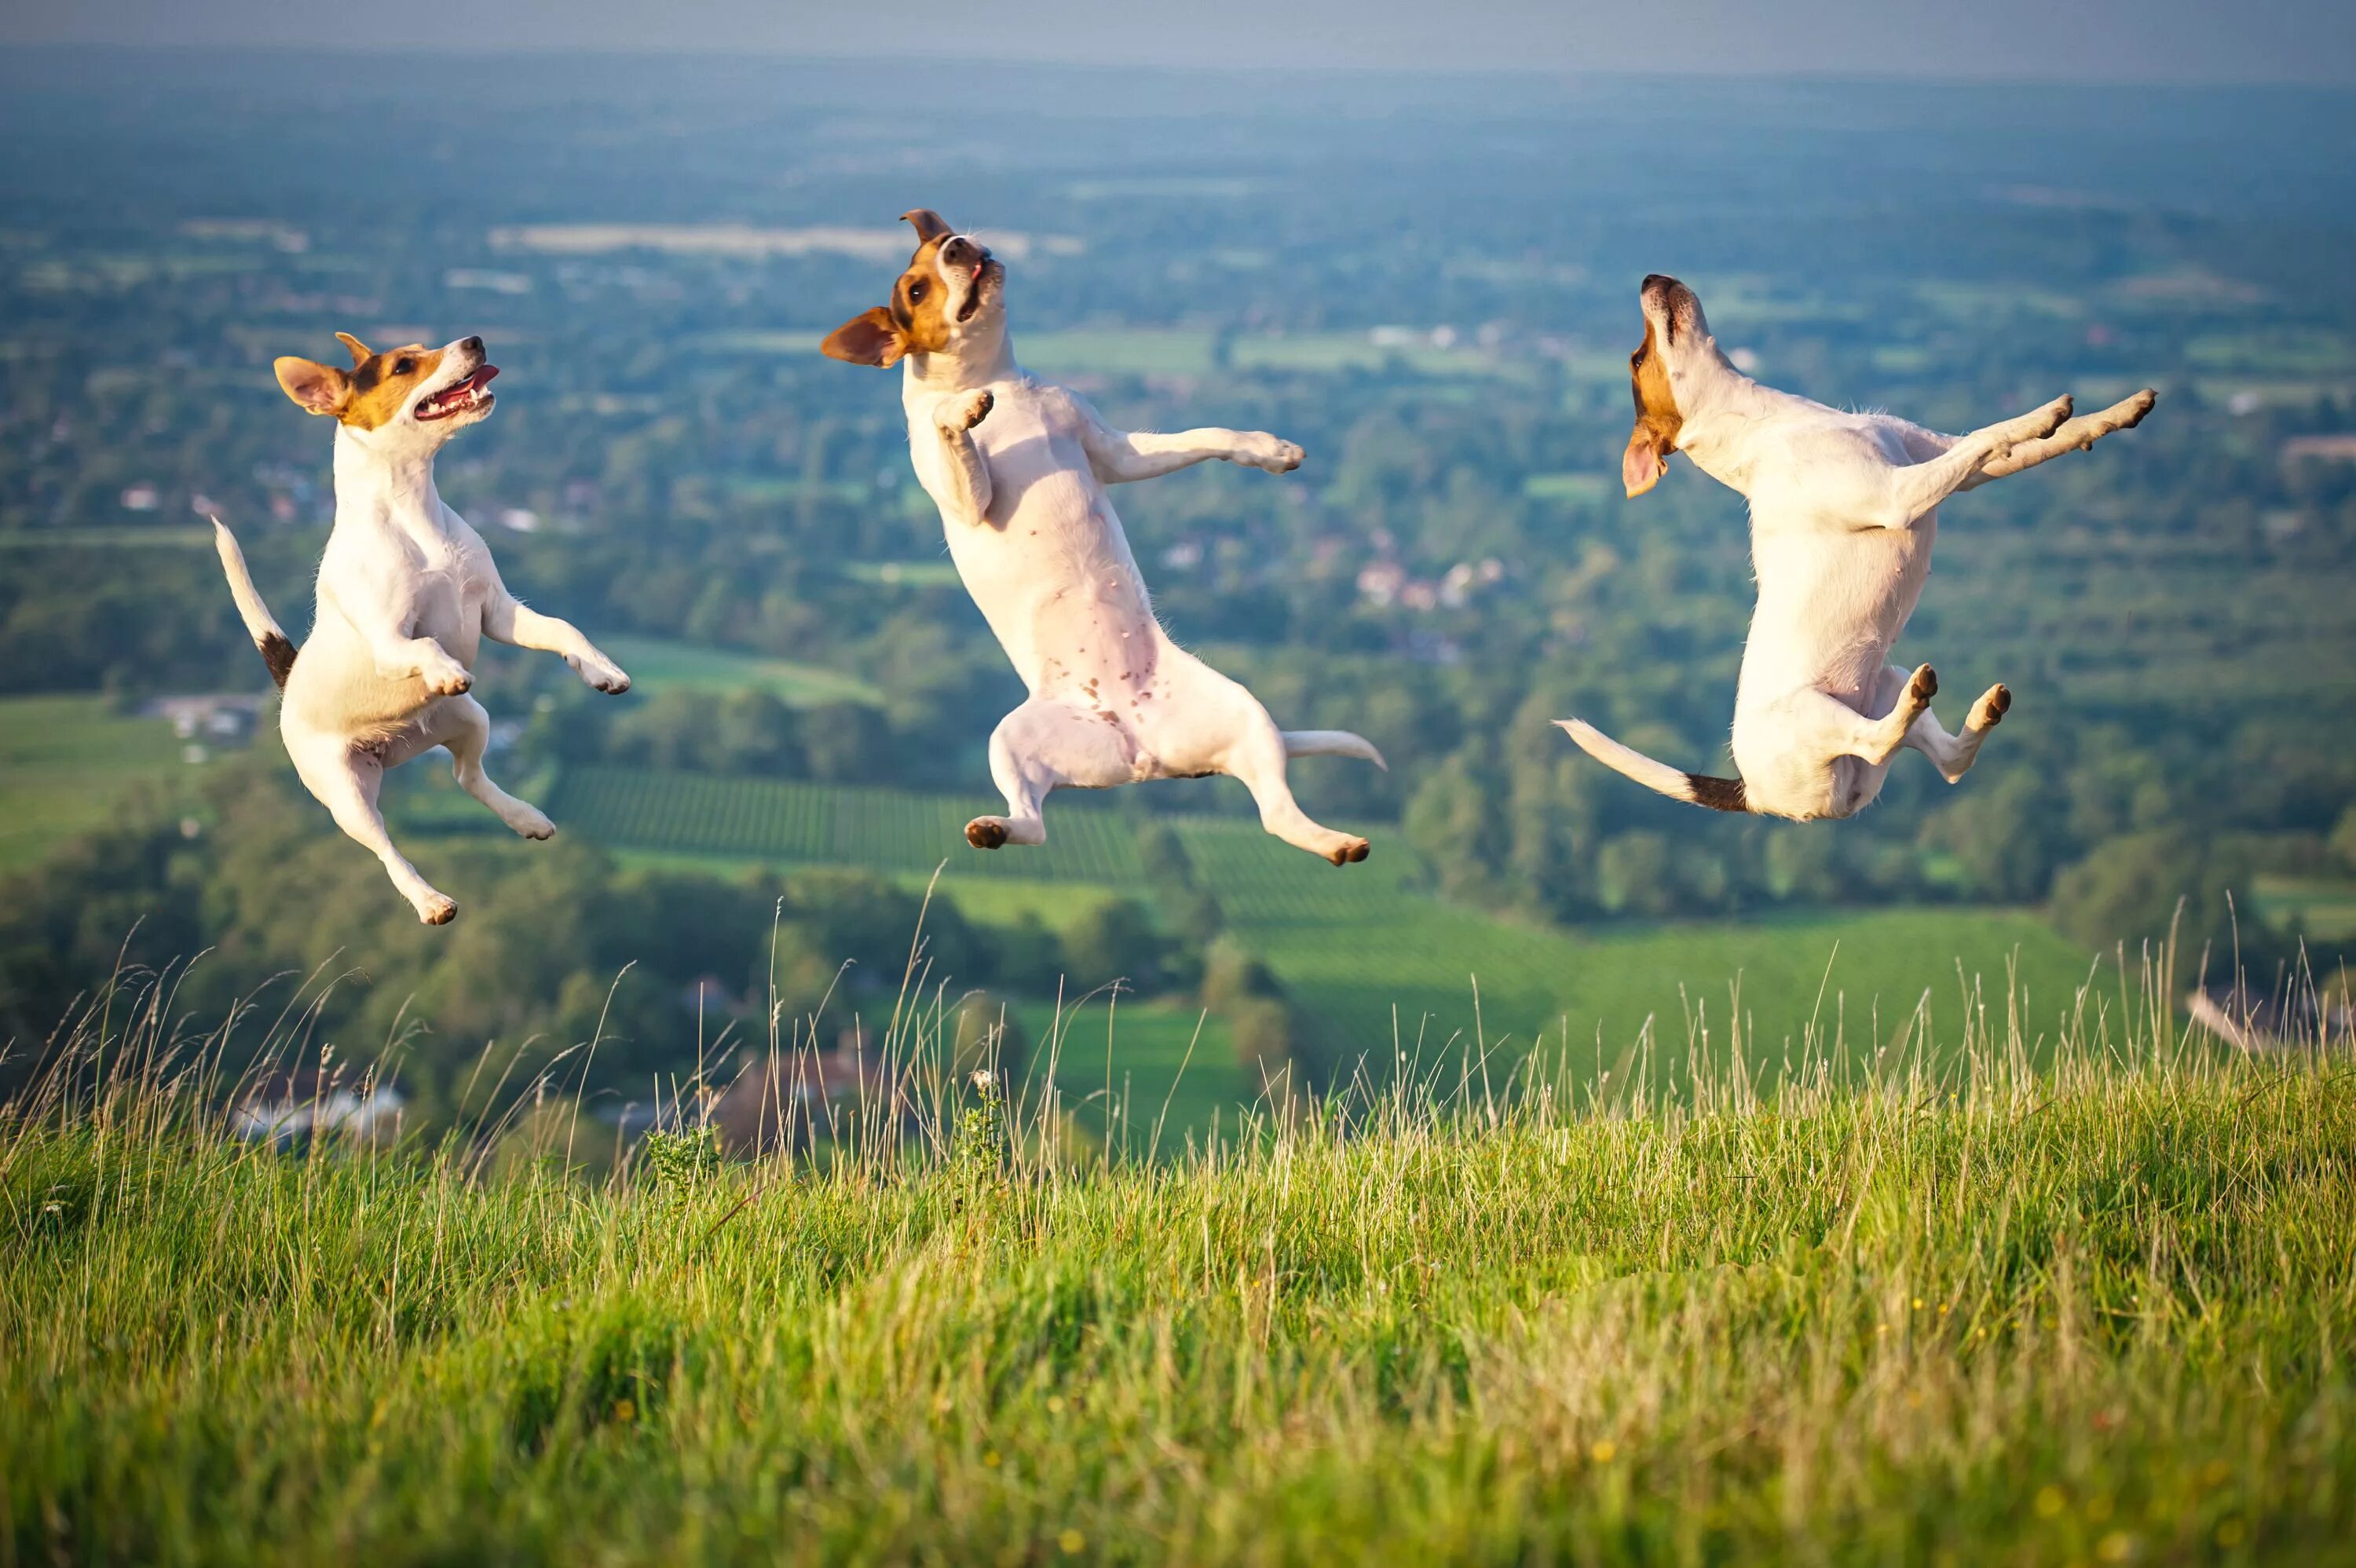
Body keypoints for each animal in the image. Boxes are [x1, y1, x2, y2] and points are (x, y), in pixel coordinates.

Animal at [213, 329, 631, 918]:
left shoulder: (497, 611)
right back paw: (430, 899)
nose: (475, 339)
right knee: (387, 849)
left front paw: (600, 669)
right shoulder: (391, 641)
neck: (413, 510)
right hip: (346, 793)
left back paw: (525, 816)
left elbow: (562, 628)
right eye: (403, 366)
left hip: (471, 720)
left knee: (467, 776)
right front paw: (445, 670)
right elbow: (426, 645)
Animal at [825, 209, 1376, 861]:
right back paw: (992, 828)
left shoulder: (1117, 453)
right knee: (1033, 820)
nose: (959, 244)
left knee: (1276, 815)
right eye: (915, 289)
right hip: (1010, 741)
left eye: (944, 240)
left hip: (1245, 715)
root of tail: (1141, 751)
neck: (997, 381)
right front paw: (958, 411)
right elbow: (945, 426)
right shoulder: (970, 503)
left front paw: (1269, 450)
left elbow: (1205, 436)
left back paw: (1337, 842)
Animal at [1555, 276, 2158, 824]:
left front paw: (2118, 412)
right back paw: (1923, 699)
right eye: (1638, 359)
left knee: (1948, 761)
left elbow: (2029, 441)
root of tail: (1755, 794)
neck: (1768, 423)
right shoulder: (1900, 494)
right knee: (1881, 738)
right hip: (1816, 713)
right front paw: (2047, 412)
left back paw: (1982, 710)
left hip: (1882, 685)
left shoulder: (1952, 467)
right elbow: (1995, 433)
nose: (1648, 278)